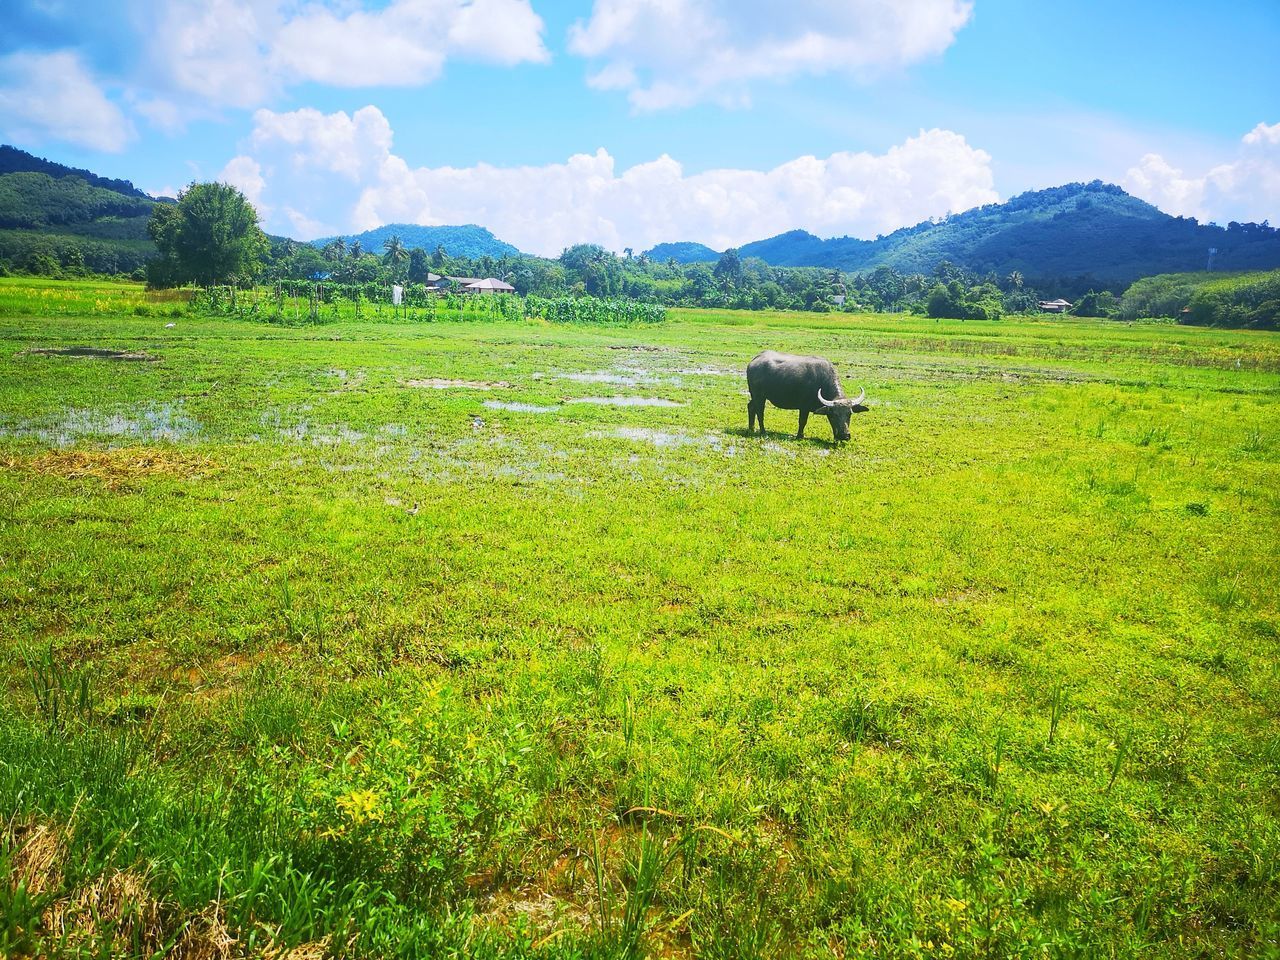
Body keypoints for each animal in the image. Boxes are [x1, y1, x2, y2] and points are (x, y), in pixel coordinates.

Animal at [747, 350, 875, 442]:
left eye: (849, 414)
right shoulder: (804, 407)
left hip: (755, 396)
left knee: (750, 407)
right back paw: (763, 431)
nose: (845, 435)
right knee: (760, 412)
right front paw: (800, 436)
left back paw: (751, 428)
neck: (822, 381)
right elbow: (802, 421)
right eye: (835, 414)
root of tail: (754, 361)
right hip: (759, 396)